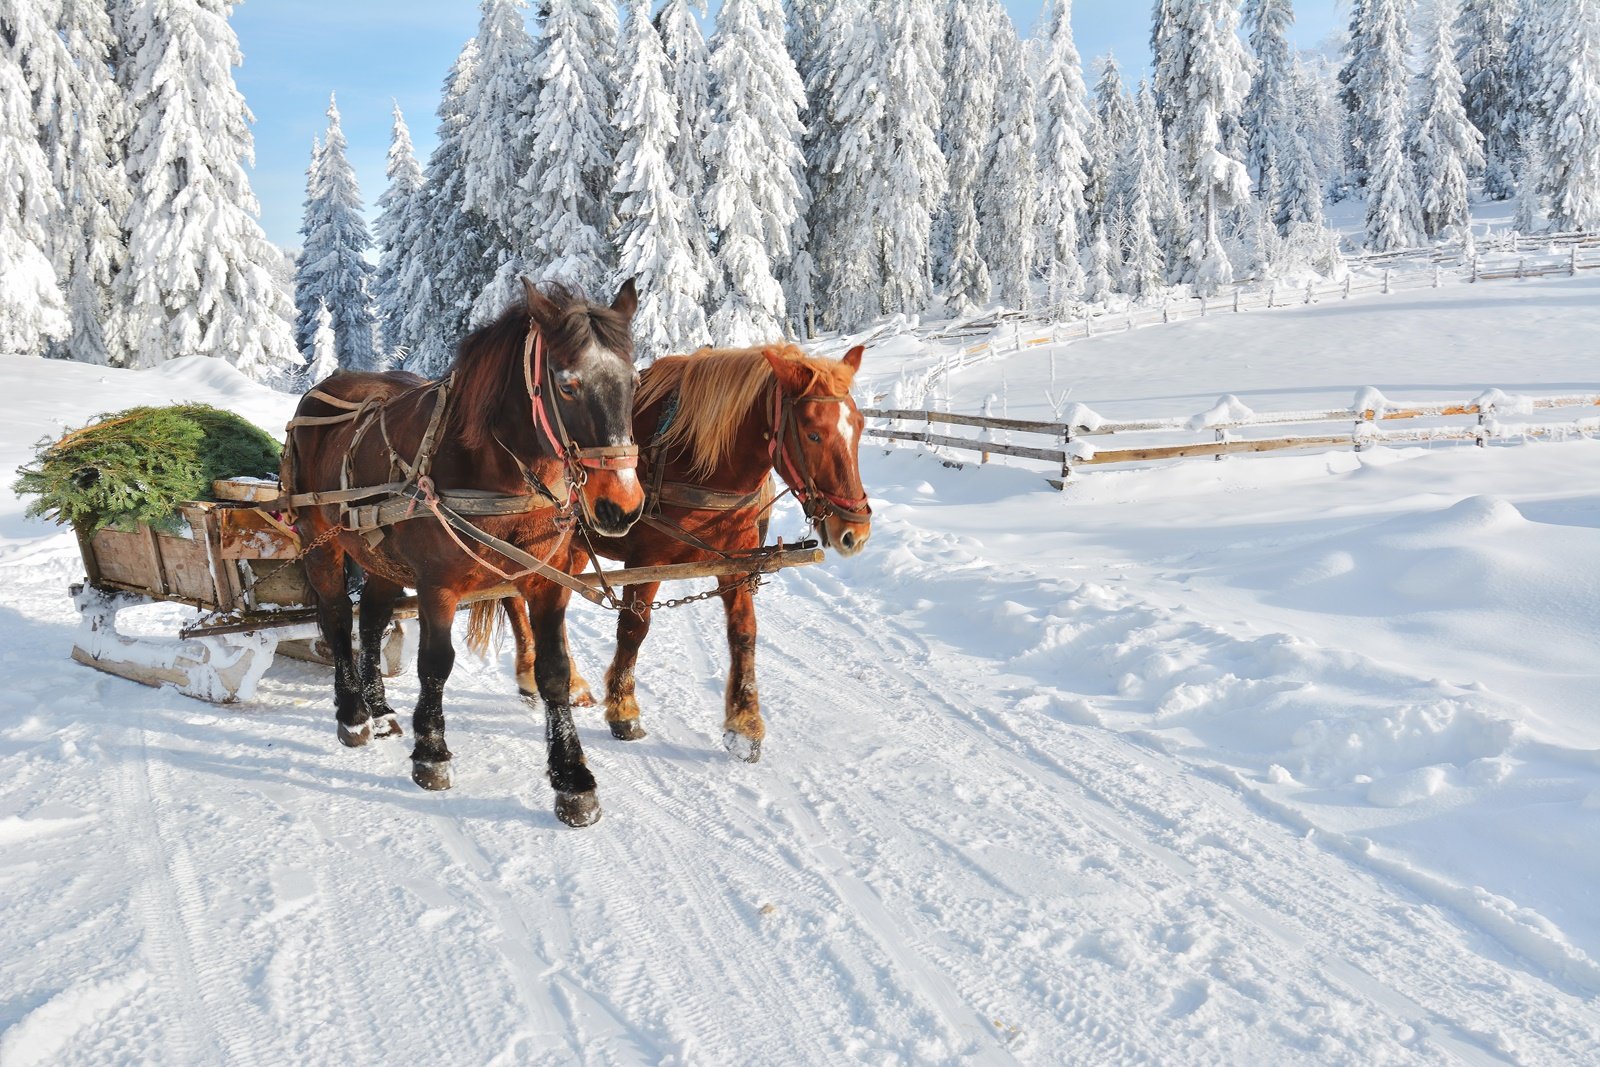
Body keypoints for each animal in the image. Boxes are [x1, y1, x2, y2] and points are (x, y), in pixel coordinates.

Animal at [280, 279, 643, 831]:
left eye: (634, 381)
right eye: (567, 385)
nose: (621, 506)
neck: (498, 473)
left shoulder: (545, 580)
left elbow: (554, 671)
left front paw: (572, 778)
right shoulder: (438, 586)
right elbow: (435, 663)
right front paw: (431, 753)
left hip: (379, 556)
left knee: (373, 621)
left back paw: (380, 709)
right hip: (318, 538)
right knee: (339, 618)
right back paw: (353, 715)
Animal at [467, 340, 870, 758]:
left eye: (859, 426)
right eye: (813, 434)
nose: (854, 530)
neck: (697, 461)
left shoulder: (736, 563)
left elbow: (744, 633)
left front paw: (744, 724)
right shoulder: (648, 560)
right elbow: (634, 629)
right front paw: (624, 710)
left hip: (570, 547)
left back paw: (571, 683)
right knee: (514, 599)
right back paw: (530, 673)